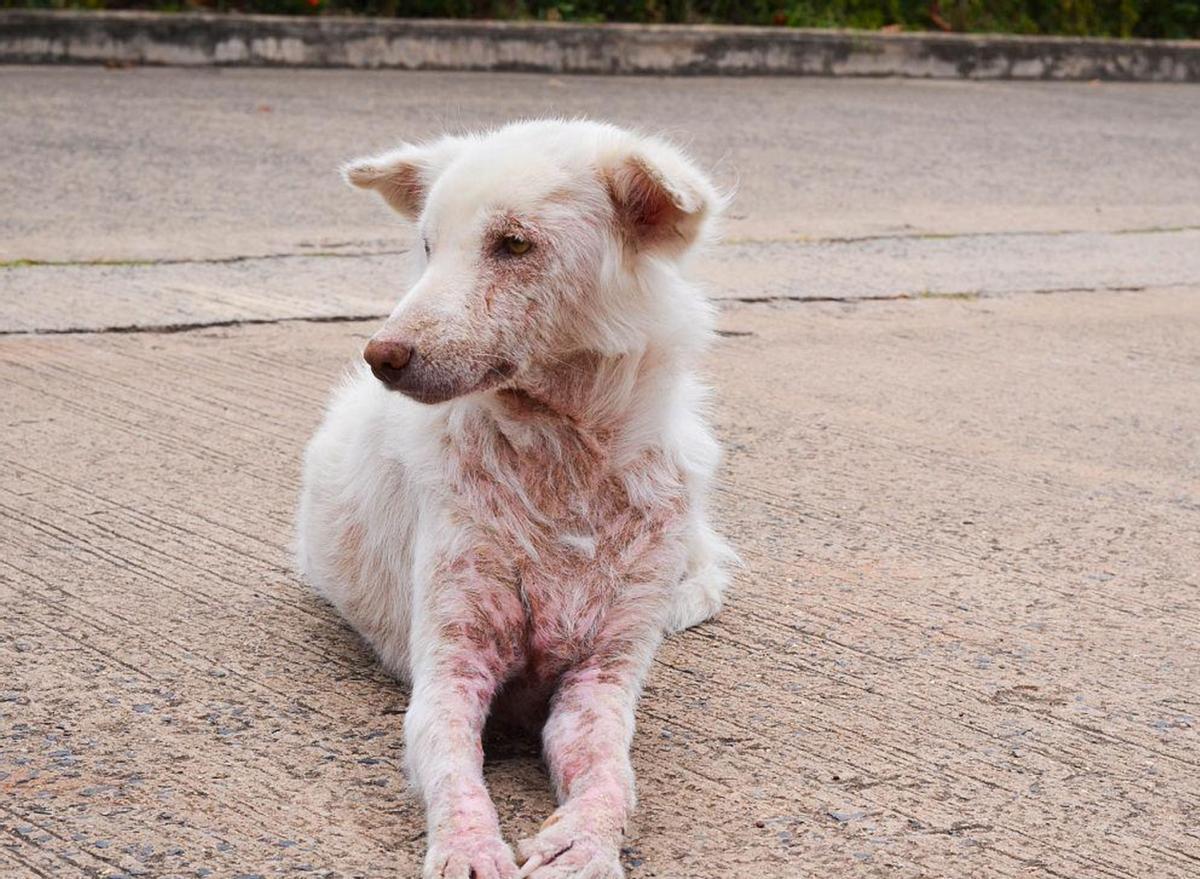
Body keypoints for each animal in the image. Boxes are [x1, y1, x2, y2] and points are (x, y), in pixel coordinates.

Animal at [296, 119, 735, 879]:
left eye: (514, 244)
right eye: (428, 245)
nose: (381, 356)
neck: (562, 462)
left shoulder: (601, 679)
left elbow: (611, 773)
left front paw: (586, 843)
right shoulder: (450, 670)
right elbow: (453, 769)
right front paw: (469, 849)